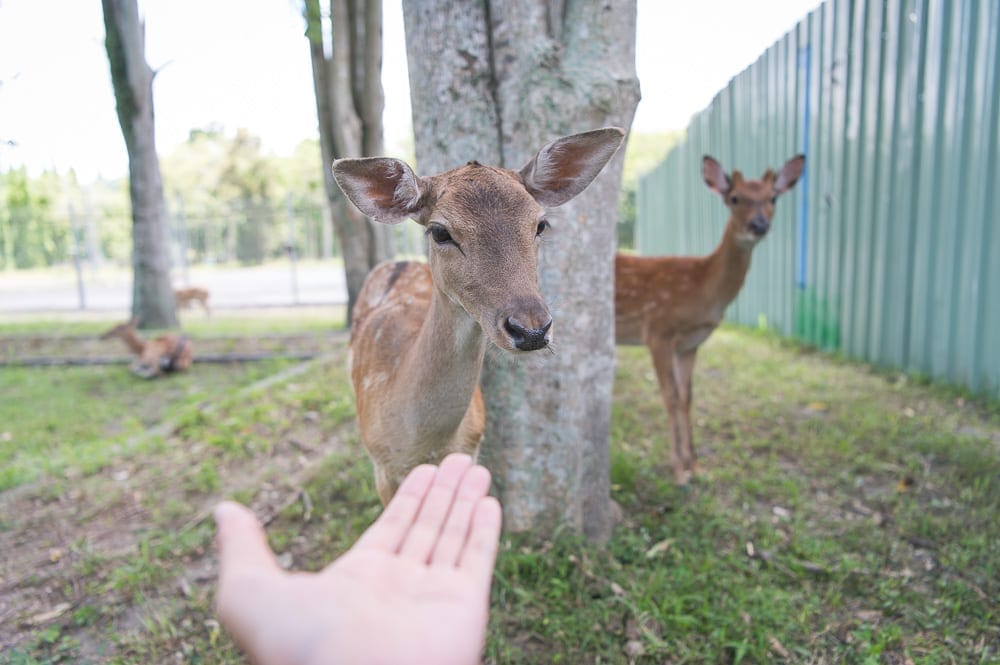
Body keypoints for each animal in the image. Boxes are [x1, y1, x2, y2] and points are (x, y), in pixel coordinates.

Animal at [332, 127, 626, 505]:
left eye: (540, 224)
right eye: (440, 231)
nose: (531, 329)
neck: (425, 446)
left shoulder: (472, 450)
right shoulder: (381, 468)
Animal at [615, 154, 805, 484]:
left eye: (773, 198)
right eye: (735, 197)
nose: (759, 225)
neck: (701, 291)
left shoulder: (690, 344)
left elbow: (688, 397)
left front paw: (695, 464)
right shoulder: (657, 331)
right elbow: (670, 397)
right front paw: (678, 470)